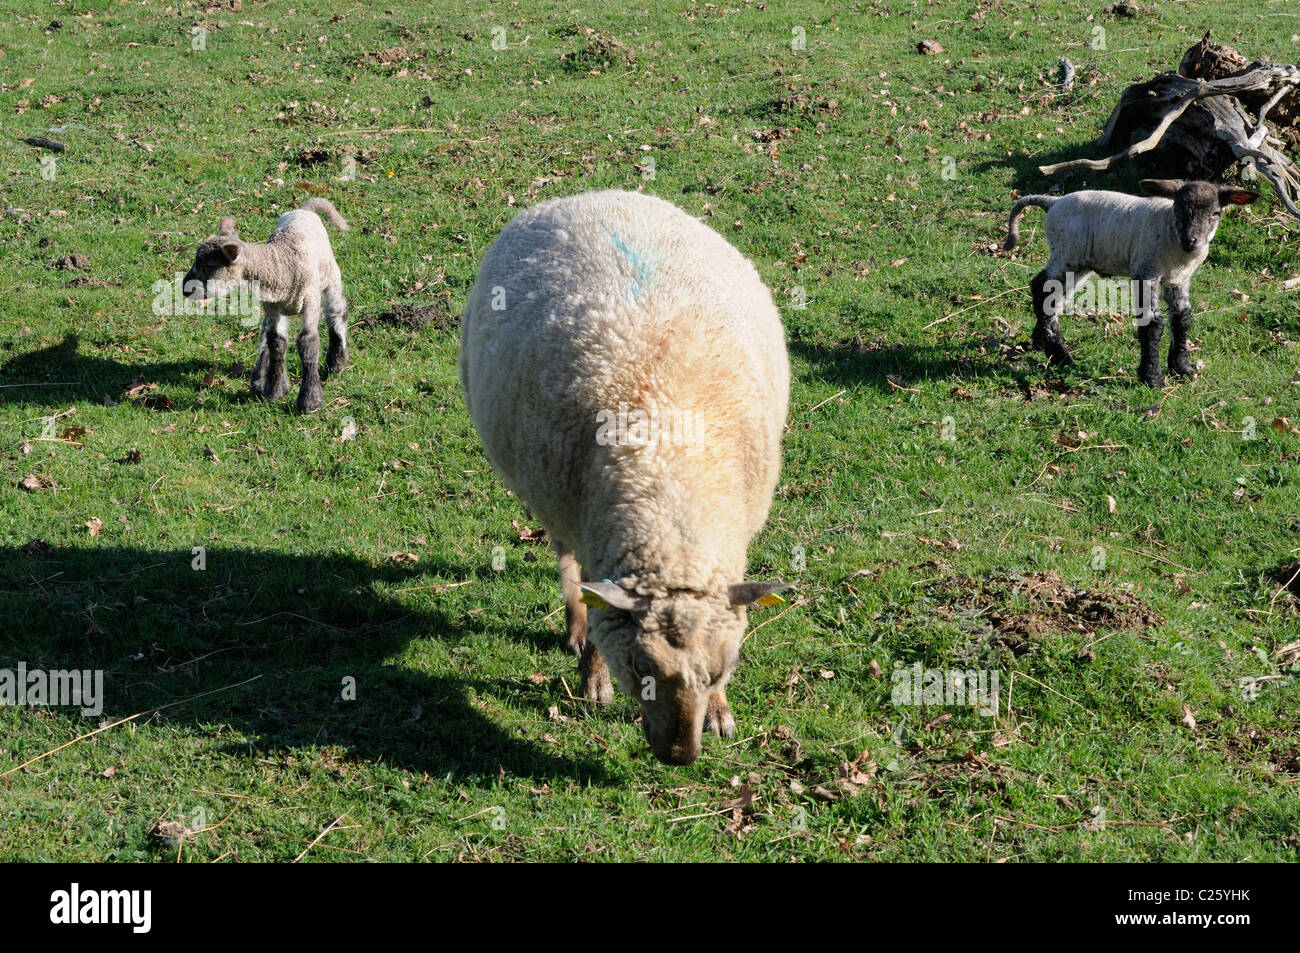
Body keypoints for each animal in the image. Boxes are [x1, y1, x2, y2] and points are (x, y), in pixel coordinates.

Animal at [183, 197, 353, 408]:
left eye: (209, 266)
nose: (184, 288)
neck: (280, 263)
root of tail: (304, 209)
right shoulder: (272, 305)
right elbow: (276, 342)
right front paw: (276, 390)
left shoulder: (310, 301)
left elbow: (308, 344)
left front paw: (310, 400)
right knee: (265, 331)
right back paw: (259, 377)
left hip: (331, 275)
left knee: (336, 313)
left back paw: (337, 362)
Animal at [462, 189, 785, 764]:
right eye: (639, 667)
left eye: (721, 669)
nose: (679, 756)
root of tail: (586, 195)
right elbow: (595, 607)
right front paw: (593, 679)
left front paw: (720, 712)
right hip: (558, 503)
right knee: (567, 562)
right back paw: (574, 628)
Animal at [998, 178, 1253, 387]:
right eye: (1178, 208)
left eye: (1216, 213)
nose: (1191, 240)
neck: (1170, 231)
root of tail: (1053, 201)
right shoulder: (1146, 271)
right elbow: (1153, 323)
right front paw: (1152, 378)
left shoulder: (1178, 280)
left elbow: (1182, 318)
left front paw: (1182, 368)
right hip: (1066, 252)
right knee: (1041, 287)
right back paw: (1061, 356)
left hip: (1079, 263)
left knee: (1054, 297)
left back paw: (1043, 343)